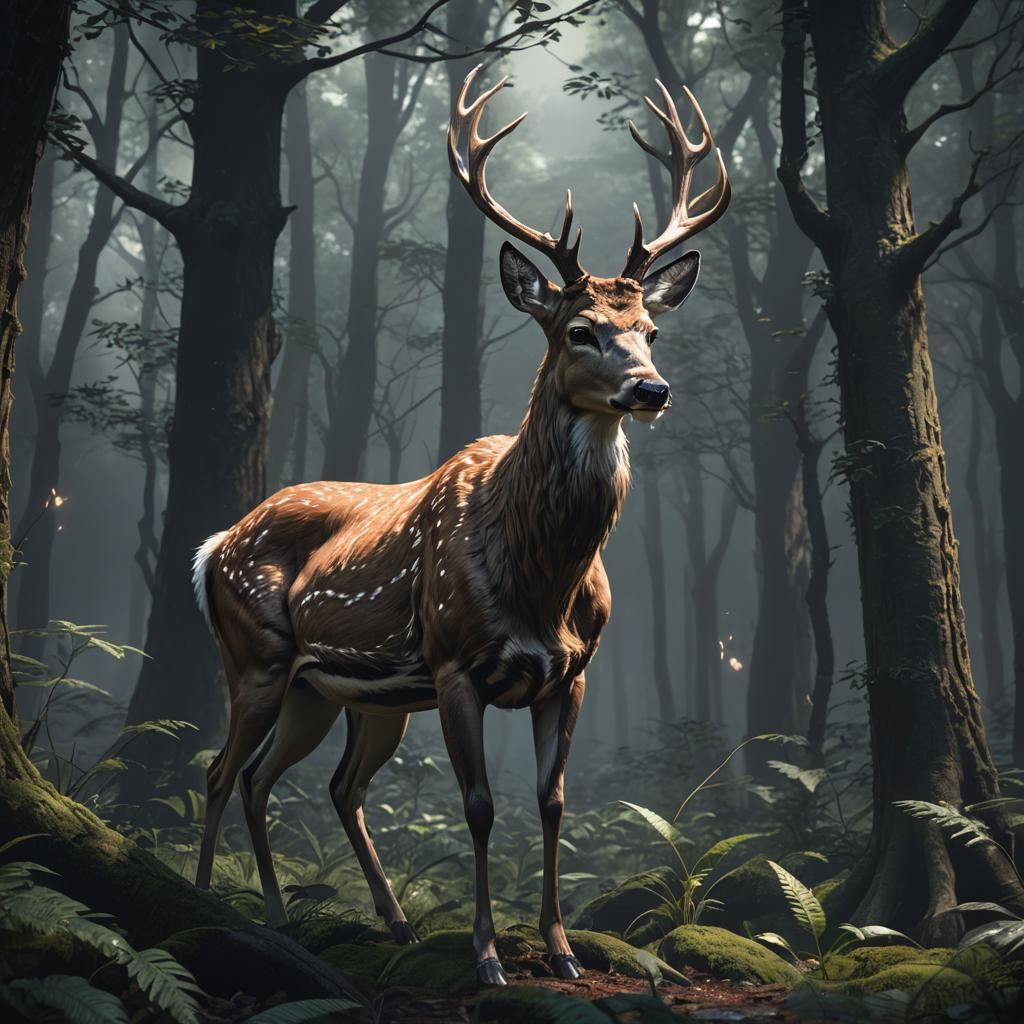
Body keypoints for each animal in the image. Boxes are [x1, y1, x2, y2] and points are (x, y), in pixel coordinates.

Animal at [191, 67, 730, 986]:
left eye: (652, 330)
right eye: (581, 330)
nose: (651, 389)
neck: (541, 577)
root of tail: (213, 545)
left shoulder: (572, 673)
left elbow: (552, 803)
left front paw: (561, 949)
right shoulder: (453, 663)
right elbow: (477, 807)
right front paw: (487, 956)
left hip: (340, 692)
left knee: (312, 784)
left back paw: (358, 922)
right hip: (255, 655)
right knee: (222, 772)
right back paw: (196, 906)